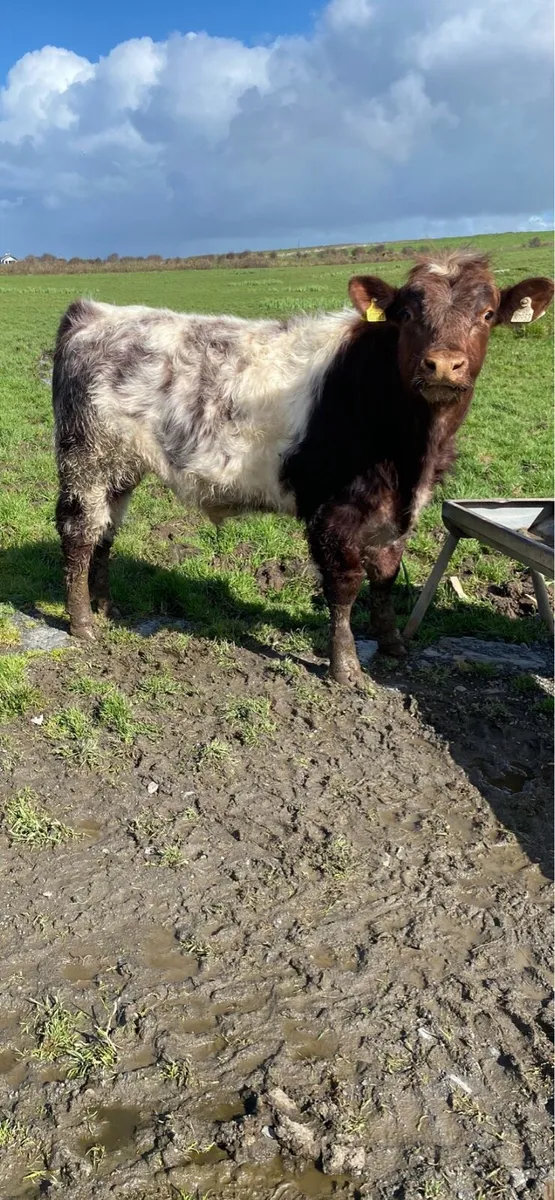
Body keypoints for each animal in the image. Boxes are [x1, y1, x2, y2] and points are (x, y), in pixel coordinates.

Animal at [52, 252, 553, 684]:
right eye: (408, 314)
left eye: (487, 314)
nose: (443, 365)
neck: (415, 452)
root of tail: (94, 313)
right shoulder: (334, 511)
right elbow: (345, 586)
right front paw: (346, 668)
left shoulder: (397, 510)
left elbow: (386, 577)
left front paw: (392, 646)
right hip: (87, 458)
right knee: (80, 532)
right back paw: (83, 623)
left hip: (120, 468)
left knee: (107, 531)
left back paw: (107, 607)